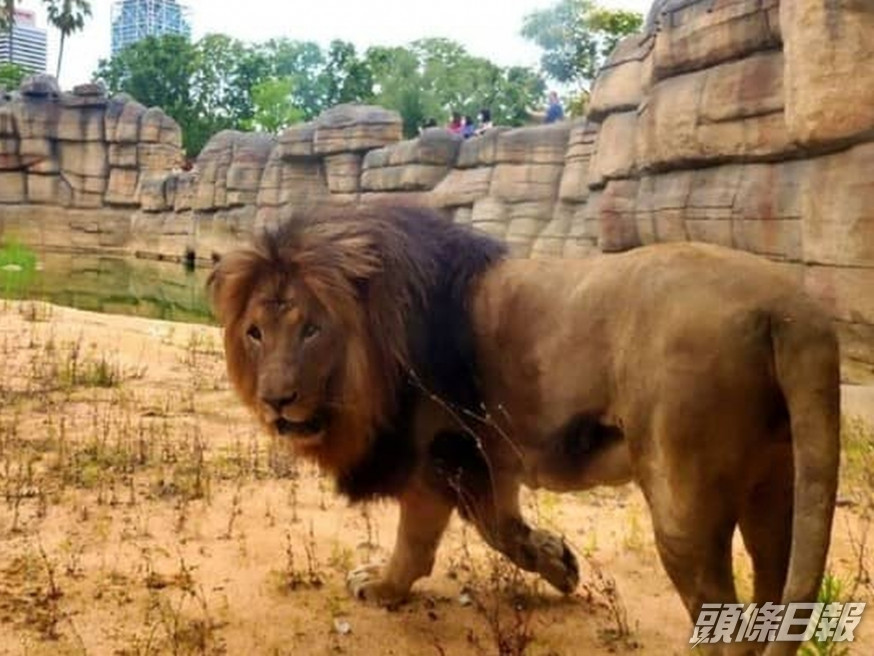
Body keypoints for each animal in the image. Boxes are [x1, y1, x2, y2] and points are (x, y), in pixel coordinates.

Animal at [208, 202, 840, 652]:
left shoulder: (439, 454)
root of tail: (788, 310)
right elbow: (504, 530)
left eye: (312, 330)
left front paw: (380, 588)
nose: (276, 401)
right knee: (770, 586)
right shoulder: (487, 457)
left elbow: (418, 543)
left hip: (685, 504)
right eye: (255, 333)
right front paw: (559, 562)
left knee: (726, 624)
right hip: (774, 486)